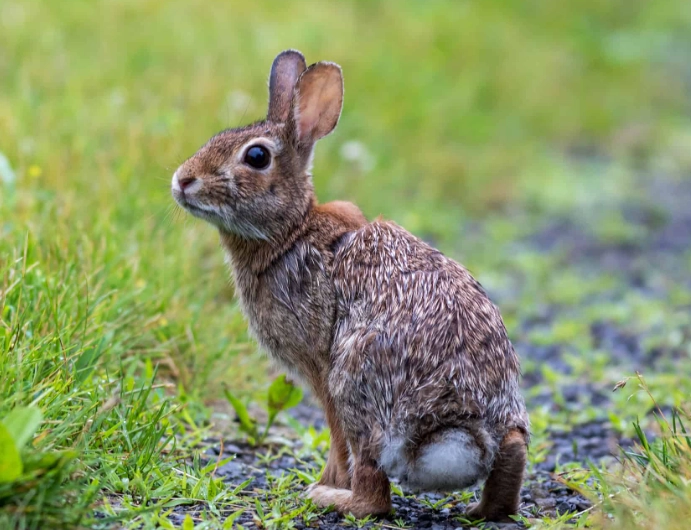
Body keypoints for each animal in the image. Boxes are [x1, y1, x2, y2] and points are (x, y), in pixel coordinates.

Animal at [171, 49, 529, 522]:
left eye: (256, 156)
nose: (182, 180)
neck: (289, 233)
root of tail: (462, 428)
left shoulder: (321, 369)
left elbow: (335, 436)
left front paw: (327, 480)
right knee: (513, 451)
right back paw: (481, 510)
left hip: (357, 381)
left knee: (373, 493)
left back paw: (329, 497)